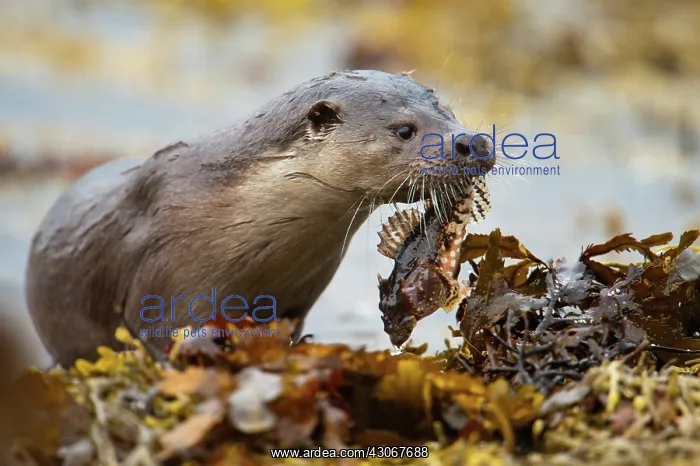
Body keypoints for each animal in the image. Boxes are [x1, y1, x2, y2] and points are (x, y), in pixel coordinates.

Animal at [25, 70, 495, 366]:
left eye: (449, 112)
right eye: (404, 130)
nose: (474, 141)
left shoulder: (299, 295)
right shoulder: (162, 283)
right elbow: (162, 339)